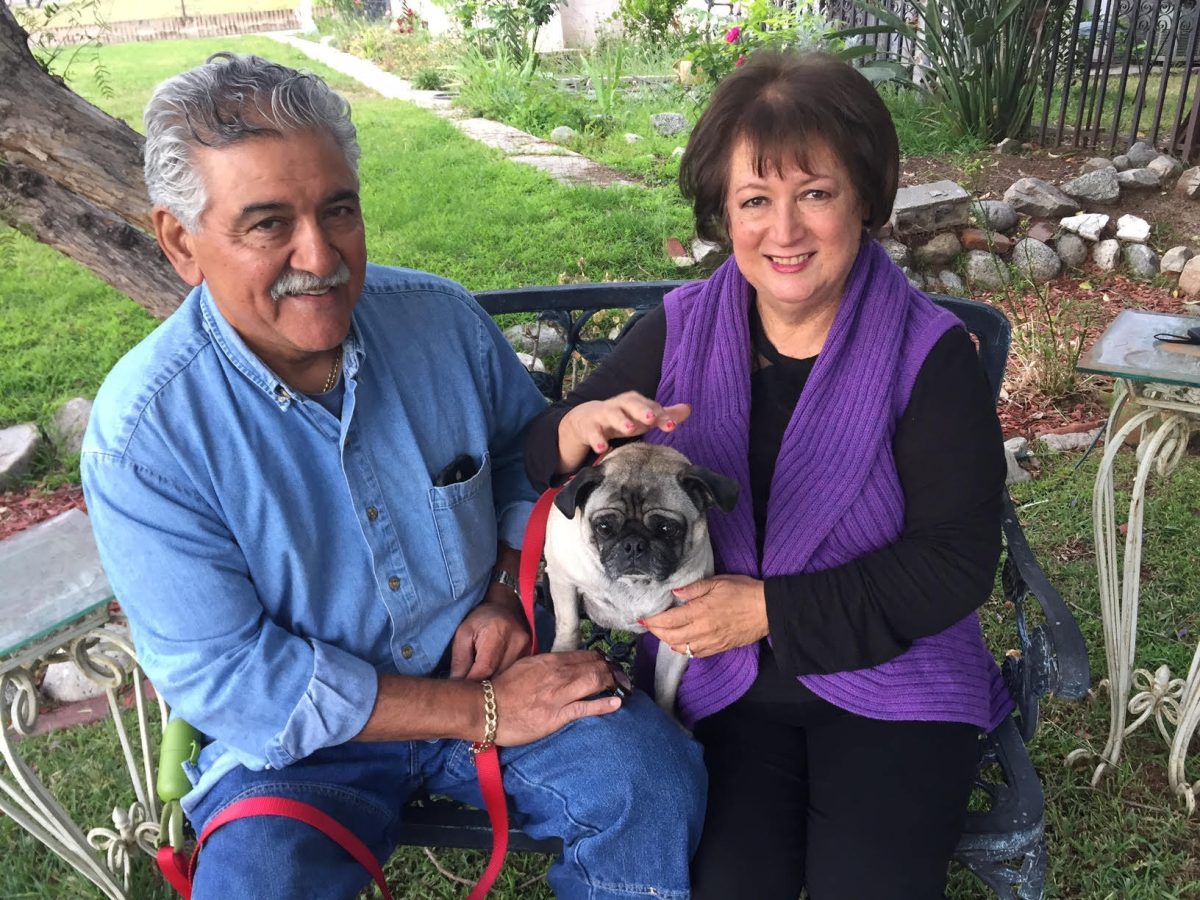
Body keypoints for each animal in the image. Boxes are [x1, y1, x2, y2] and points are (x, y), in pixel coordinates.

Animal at [543, 442, 739, 716]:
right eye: (604, 527)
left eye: (667, 529)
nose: (633, 544)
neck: (634, 586)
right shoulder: (562, 578)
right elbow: (568, 624)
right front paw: (562, 654)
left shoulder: (678, 632)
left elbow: (665, 685)